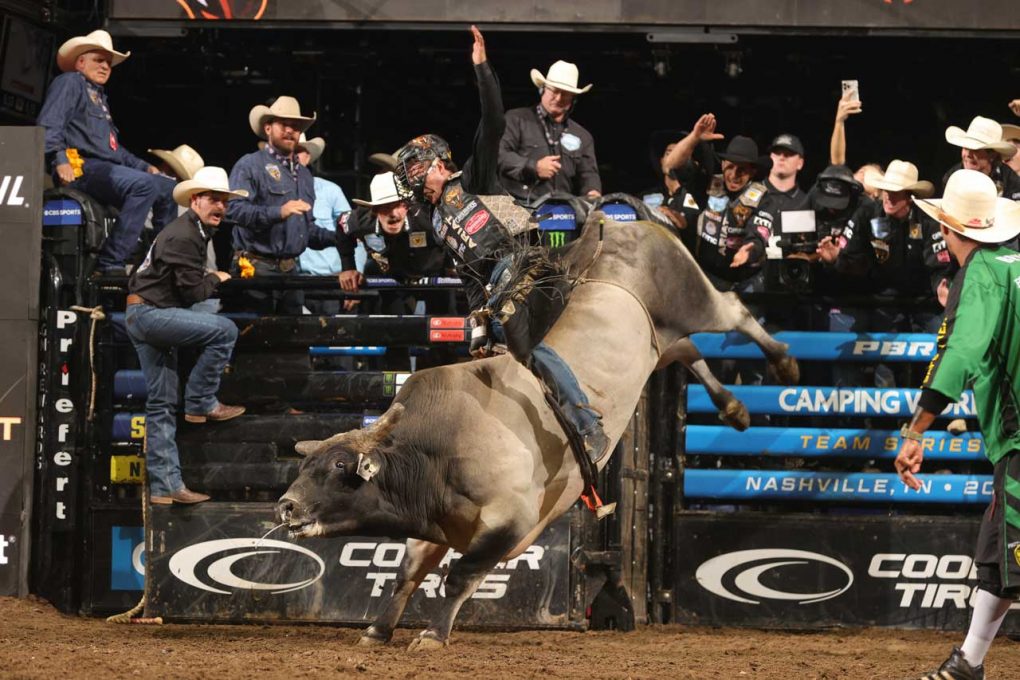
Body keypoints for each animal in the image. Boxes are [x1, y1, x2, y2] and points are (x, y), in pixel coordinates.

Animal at [277, 210, 795, 652]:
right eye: (305, 465)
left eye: (339, 467)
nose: (286, 506)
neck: (437, 452)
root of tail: (621, 224)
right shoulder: (436, 524)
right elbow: (407, 575)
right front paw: (377, 631)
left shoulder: (513, 518)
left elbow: (460, 576)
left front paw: (431, 636)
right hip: (659, 341)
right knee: (686, 351)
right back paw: (735, 410)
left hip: (690, 296)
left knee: (733, 310)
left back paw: (784, 364)